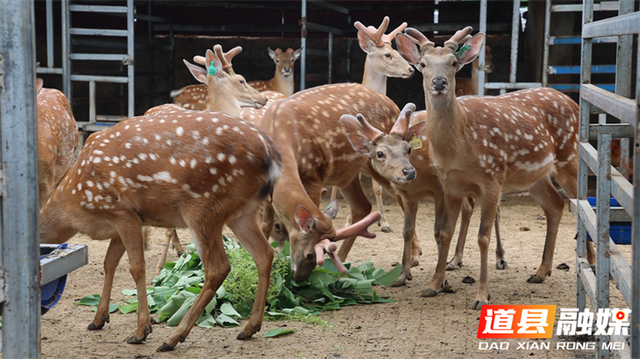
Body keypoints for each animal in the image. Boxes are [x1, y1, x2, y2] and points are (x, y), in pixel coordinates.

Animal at [396, 26, 596, 310]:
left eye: (454, 63)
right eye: (423, 64)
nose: (439, 83)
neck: (457, 145)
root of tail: (573, 102)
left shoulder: (491, 178)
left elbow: (483, 237)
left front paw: (482, 296)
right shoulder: (450, 186)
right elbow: (445, 233)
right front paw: (433, 285)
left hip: (569, 158)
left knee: (584, 206)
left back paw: (590, 264)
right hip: (534, 176)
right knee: (555, 205)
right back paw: (541, 271)